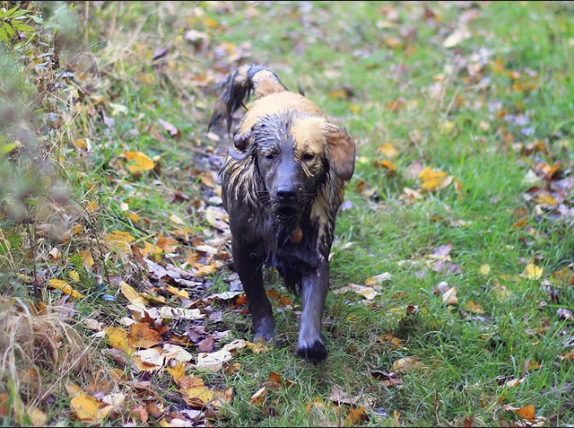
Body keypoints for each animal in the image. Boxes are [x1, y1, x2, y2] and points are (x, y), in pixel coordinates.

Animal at [209, 64, 358, 364]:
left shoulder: (316, 257)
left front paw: (311, 343)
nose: (285, 193)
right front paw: (265, 335)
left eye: (308, 156)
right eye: (270, 155)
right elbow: (257, 298)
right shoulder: (243, 249)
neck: (283, 221)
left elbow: (313, 305)